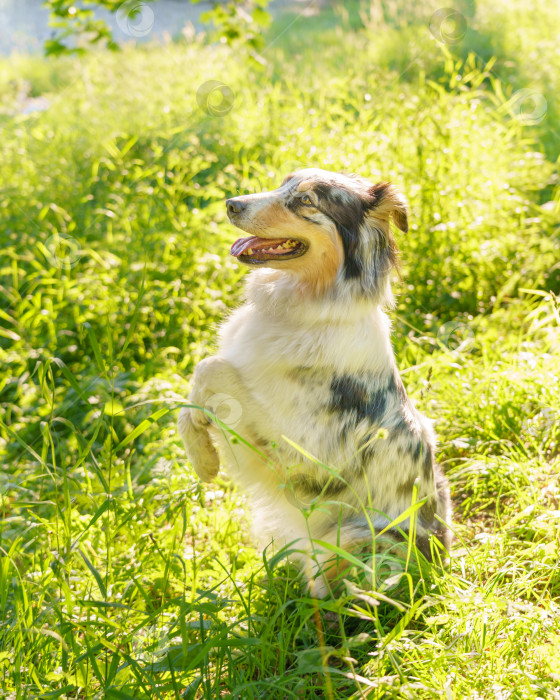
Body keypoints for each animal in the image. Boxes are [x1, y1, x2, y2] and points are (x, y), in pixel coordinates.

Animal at [177, 167, 452, 592]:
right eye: (282, 184)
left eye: (306, 201)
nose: (231, 204)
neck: (305, 310)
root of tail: (437, 564)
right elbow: (196, 387)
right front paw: (201, 454)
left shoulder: (303, 457)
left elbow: (214, 368)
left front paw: (205, 455)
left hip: (362, 539)